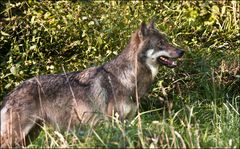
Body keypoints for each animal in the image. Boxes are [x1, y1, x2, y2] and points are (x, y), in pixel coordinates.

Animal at [0, 20, 185, 147]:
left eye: (167, 40)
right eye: (161, 43)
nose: (182, 51)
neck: (128, 78)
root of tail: (11, 93)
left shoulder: (125, 123)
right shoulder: (113, 124)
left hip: (29, 136)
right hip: (16, 135)